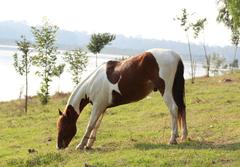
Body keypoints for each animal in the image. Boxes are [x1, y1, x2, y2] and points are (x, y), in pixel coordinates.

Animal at [56, 48, 188, 150]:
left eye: (63, 126)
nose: (59, 146)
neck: (92, 83)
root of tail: (176, 56)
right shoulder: (102, 107)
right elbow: (96, 125)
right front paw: (89, 144)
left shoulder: (97, 106)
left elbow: (90, 125)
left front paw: (81, 145)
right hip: (176, 91)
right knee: (182, 108)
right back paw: (183, 136)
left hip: (166, 91)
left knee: (174, 109)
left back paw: (172, 139)